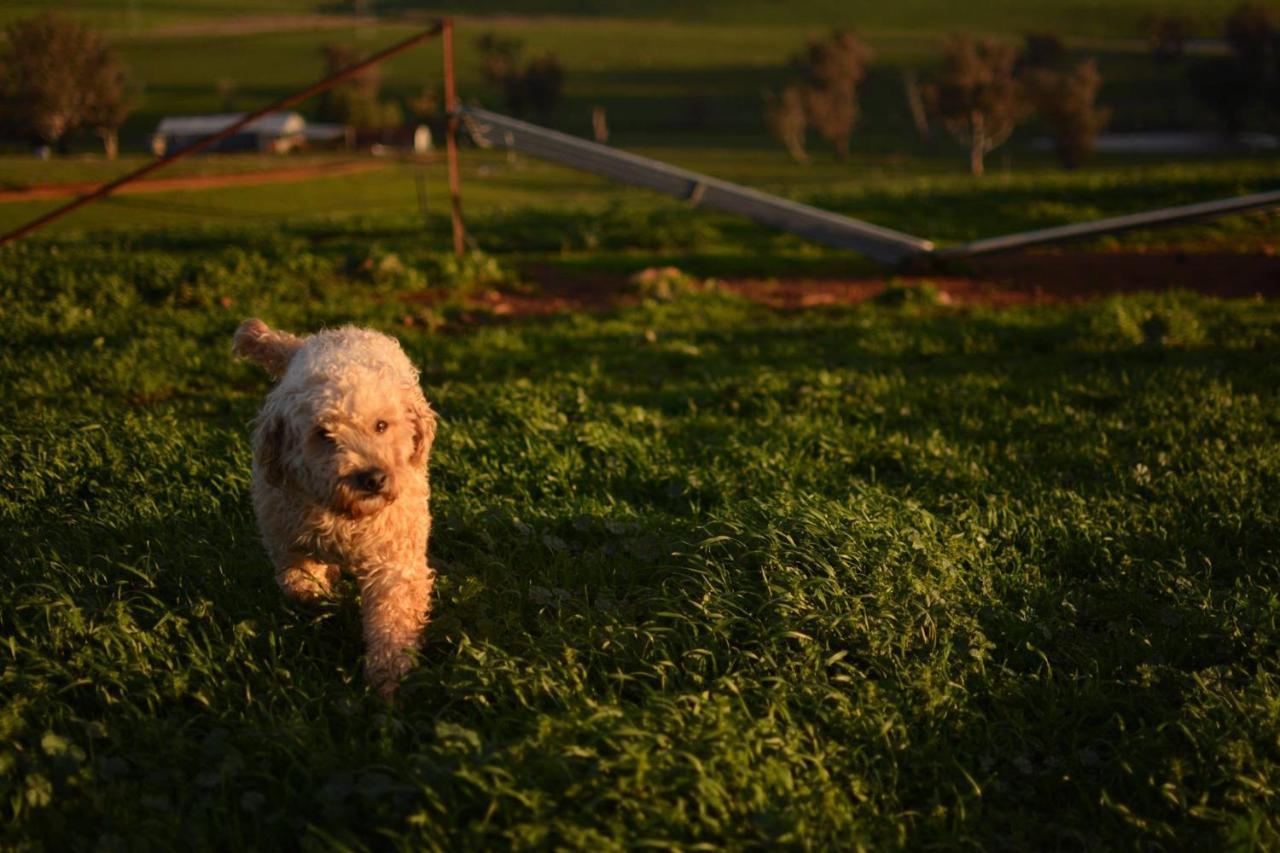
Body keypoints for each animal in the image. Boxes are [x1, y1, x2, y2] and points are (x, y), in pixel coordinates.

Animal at [235, 315, 440, 696]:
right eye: (323, 435)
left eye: (381, 425)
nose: (372, 478)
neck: (346, 516)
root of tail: (338, 333)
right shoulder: (286, 540)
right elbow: (301, 584)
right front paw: (320, 591)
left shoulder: (394, 559)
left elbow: (394, 615)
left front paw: (388, 672)